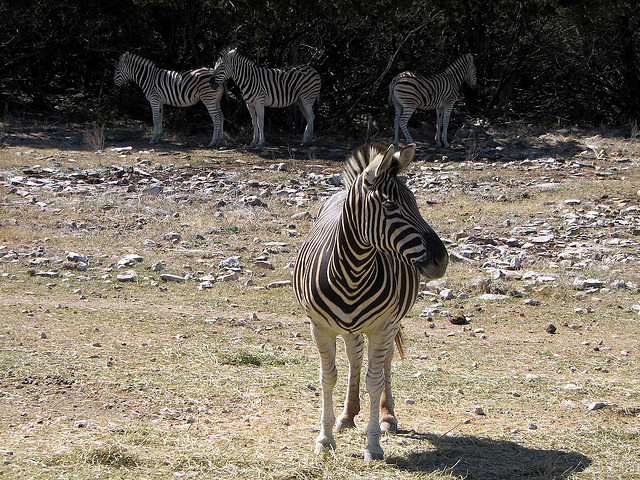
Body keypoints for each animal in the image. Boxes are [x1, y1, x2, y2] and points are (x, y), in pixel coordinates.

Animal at [293, 143, 448, 460]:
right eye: (390, 207)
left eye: (416, 202)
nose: (442, 260)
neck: (353, 271)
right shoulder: (319, 328)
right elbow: (328, 378)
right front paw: (325, 438)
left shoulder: (383, 326)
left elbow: (374, 380)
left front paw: (373, 444)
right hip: (350, 327)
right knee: (354, 357)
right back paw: (347, 415)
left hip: (391, 324)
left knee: (384, 363)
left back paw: (387, 416)